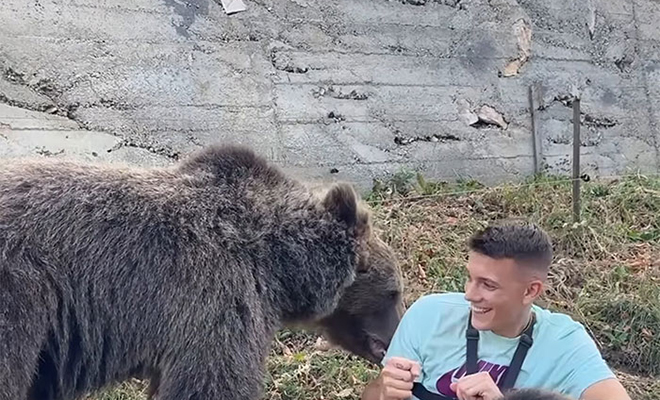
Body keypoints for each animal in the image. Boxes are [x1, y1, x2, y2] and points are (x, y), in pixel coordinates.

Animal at [0, 145, 404, 400]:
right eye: (395, 293)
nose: (397, 336)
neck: (277, 263)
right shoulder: (215, 297)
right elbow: (214, 380)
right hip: (20, 297)